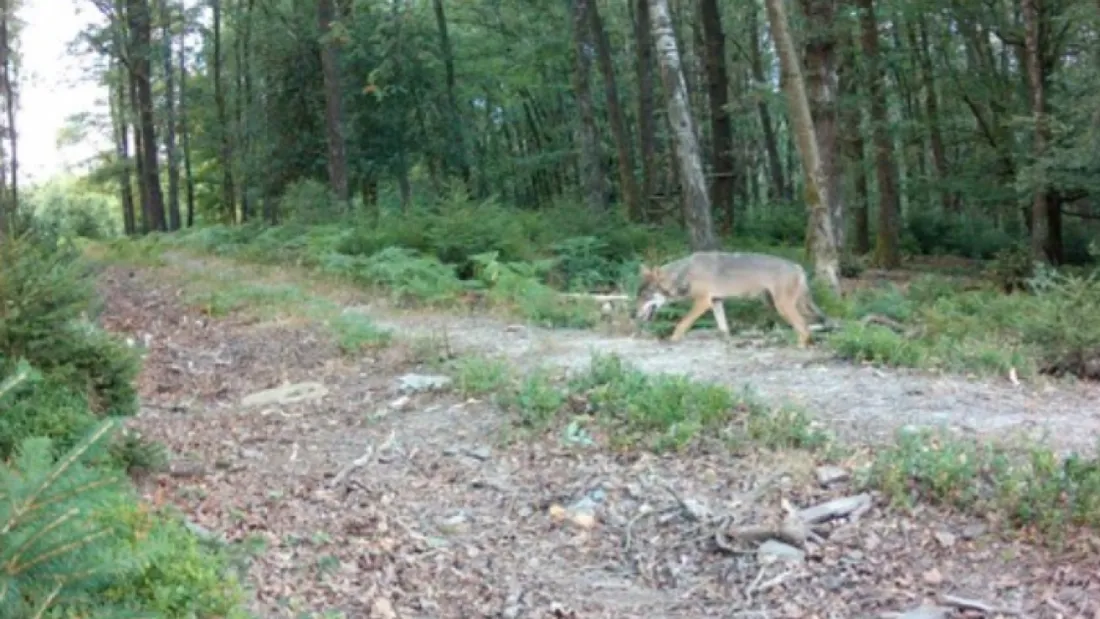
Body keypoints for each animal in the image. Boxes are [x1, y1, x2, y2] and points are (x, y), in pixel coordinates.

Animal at [634, 251, 831, 348]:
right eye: (638, 295)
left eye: (646, 296)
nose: (632, 315)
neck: (685, 273)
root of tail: (798, 267)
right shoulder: (716, 301)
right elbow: (723, 328)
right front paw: (728, 342)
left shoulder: (702, 302)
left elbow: (682, 323)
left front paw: (673, 339)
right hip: (779, 305)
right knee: (808, 325)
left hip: (782, 307)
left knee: (804, 326)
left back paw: (800, 346)